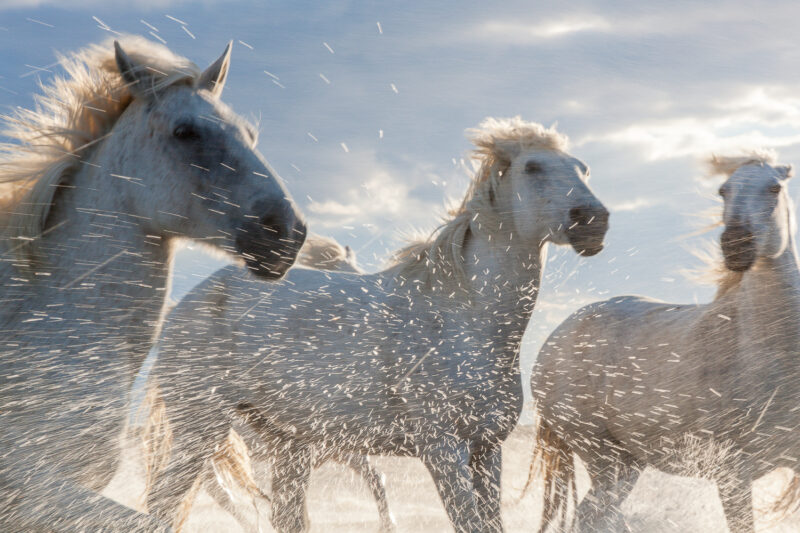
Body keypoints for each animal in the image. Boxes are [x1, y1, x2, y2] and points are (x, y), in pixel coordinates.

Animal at [145, 117, 608, 532]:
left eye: (583, 169)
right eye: (533, 167)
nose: (594, 221)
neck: (464, 316)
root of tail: (185, 306)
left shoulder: (486, 449)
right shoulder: (442, 450)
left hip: (288, 446)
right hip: (200, 428)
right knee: (160, 505)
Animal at [532, 152, 800, 528]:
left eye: (774, 188)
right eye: (723, 191)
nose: (735, 245)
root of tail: (553, 340)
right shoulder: (732, 473)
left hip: (628, 463)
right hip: (605, 459)